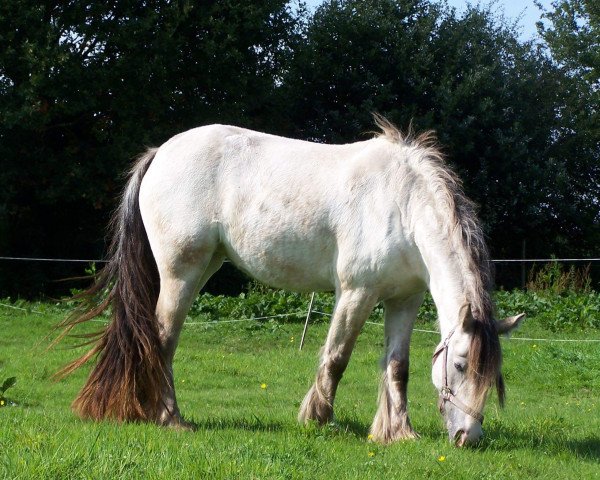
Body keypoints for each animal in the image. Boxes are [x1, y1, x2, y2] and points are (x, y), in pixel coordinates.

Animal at [58, 115, 524, 446]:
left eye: (493, 376)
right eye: (460, 365)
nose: (468, 437)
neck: (403, 202)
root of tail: (160, 152)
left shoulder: (403, 300)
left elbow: (398, 367)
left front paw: (397, 434)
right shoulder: (356, 292)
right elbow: (336, 358)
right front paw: (317, 419)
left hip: (205, 266)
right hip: (180, 273)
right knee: (162, 340)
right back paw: (171, 419)